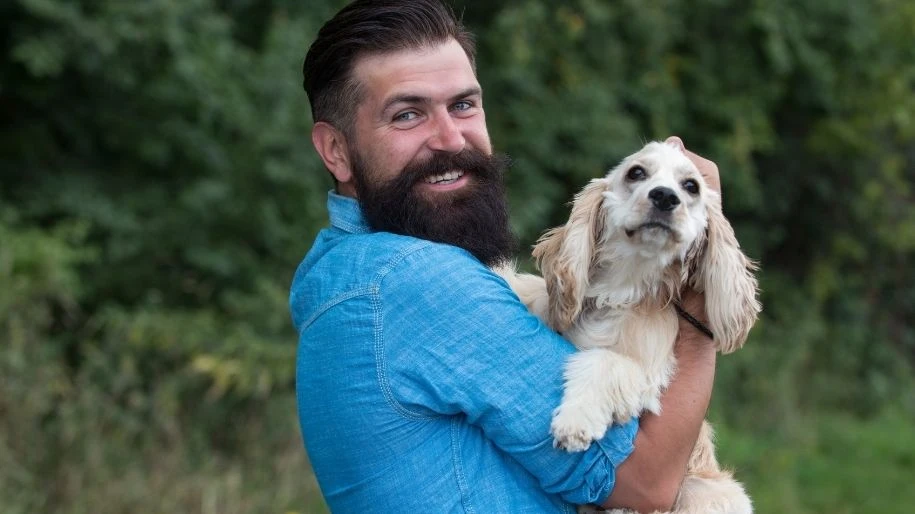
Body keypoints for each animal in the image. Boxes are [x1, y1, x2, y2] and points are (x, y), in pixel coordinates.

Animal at [500, 140, 760, 512]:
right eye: (636, 173)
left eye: (691, 186)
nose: (665, 197)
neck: (622, 287)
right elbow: (526, 288)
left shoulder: (649, 376)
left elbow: (604, 362)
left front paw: (575, 421)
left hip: (711, 491)